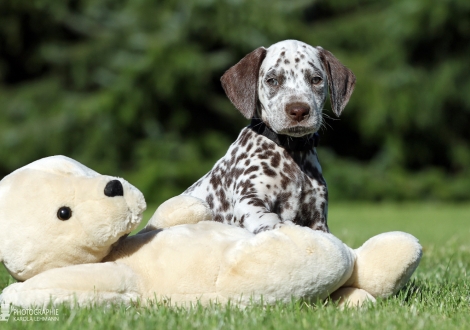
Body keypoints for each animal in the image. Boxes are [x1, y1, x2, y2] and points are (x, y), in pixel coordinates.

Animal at [184, 40, 356, 233]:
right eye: (272, 80)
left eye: (316, 79)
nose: (299, 110)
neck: (292, 152)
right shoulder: (249, 200)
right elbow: (271, 220)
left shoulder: (318, 217)